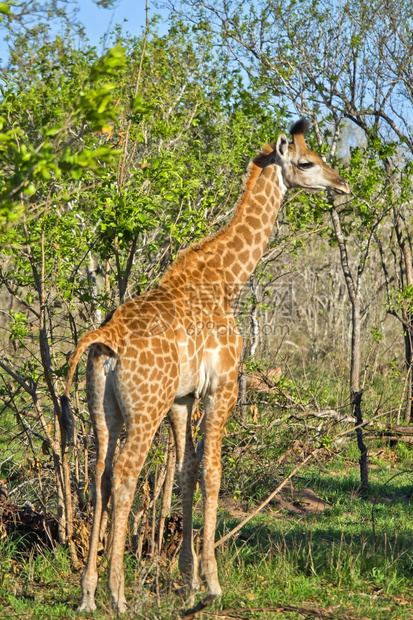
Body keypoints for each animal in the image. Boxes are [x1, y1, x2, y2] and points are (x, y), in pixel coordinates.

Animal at [61, 118, 350, 612]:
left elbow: (186, 471)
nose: (342, 185)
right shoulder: (223, 387)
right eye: (308, 162)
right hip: (145, 409)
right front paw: (212, 583)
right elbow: (213, 472)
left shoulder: (182, 399)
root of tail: (104, 340)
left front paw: (188, 579)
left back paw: (88, 594)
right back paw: (118, 594)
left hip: (103, 409)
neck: (226, 281)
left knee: (99, 475)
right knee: (125, 475)